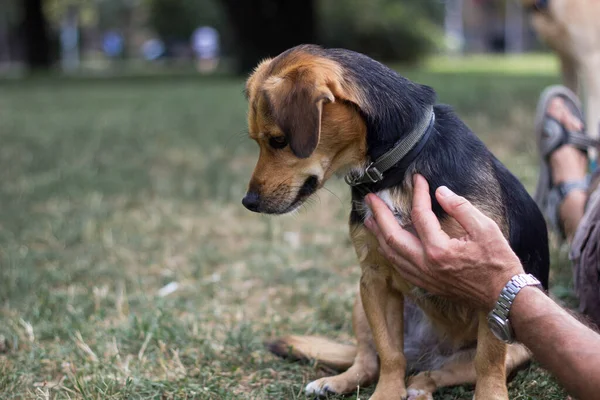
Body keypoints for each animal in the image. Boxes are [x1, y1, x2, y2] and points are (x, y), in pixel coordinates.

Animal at [241, 45, 552, 400]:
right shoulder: (375, 278)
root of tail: (427, 352)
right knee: (371, 361)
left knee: (443, 372)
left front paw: (490, 396)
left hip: (517, 348)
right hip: (360, 300)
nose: (248, 202)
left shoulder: (489, 280)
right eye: (258, 141)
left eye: (279, 141)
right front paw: (387, 393)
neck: (392, 169)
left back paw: (420, 387)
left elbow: (488, 360)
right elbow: (389, 354)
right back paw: (338, 381)